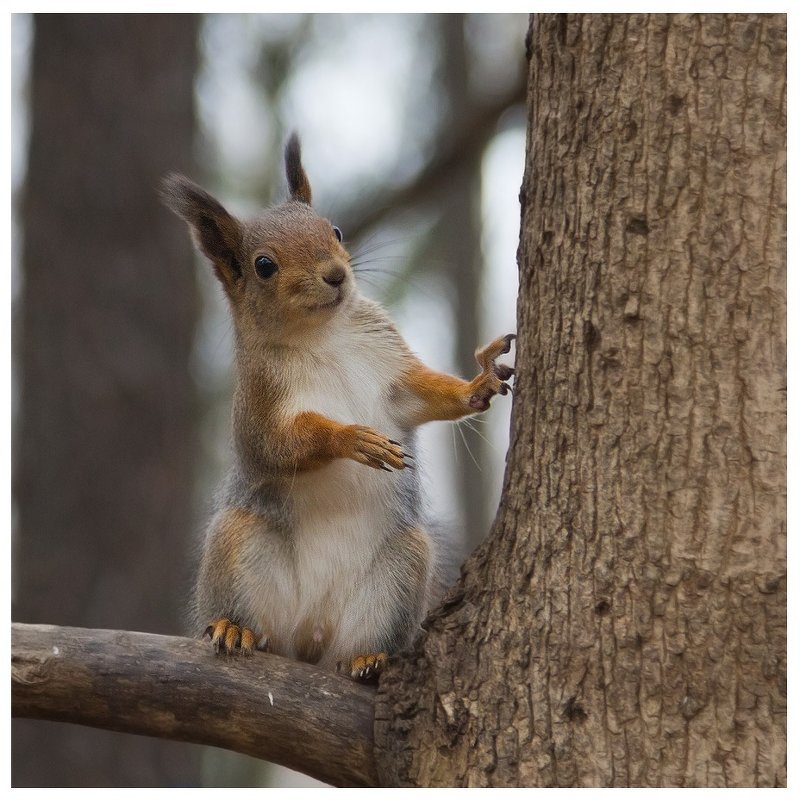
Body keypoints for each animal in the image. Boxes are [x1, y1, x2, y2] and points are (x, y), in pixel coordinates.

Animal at [162, 134, 512, 680]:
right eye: (264, 265)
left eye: (336, 230)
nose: (335, 275)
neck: (322, 334)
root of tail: (309, 635)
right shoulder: (259, 404)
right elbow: (284, 443)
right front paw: (353, 438)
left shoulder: (392, 374)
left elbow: (425, 396)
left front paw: (479, 384)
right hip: (240, 544)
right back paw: (234, 627)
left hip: (398, 571)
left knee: (362, 641)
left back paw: (368, 657)